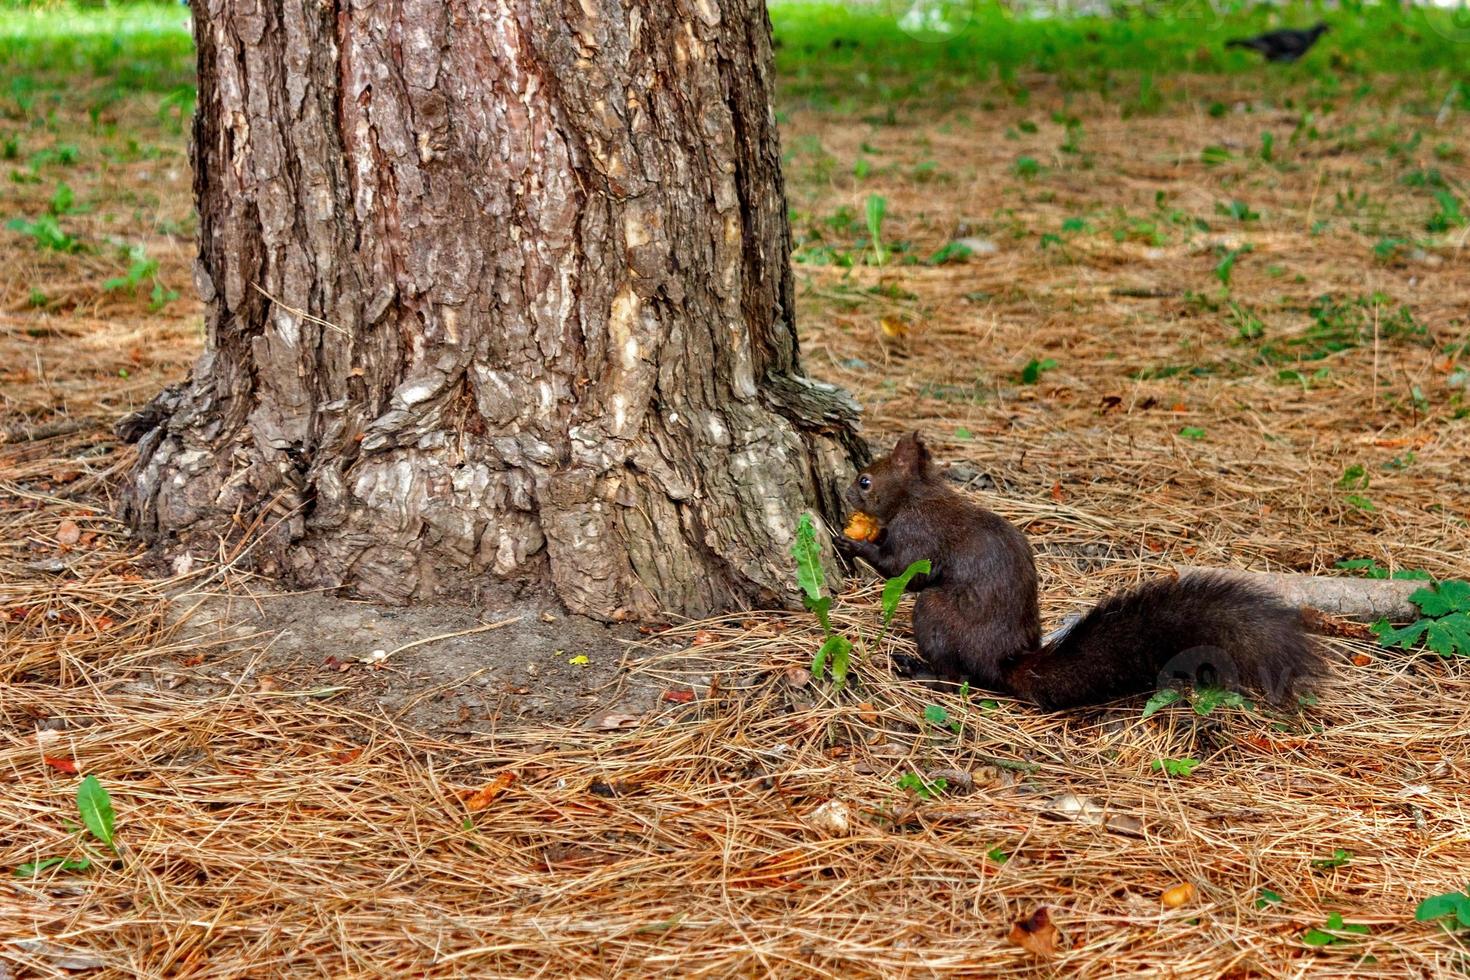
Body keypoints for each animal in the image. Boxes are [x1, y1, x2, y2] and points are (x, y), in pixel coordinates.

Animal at [834, 431, 1328, 708]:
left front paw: (853, 541)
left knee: (958, 675)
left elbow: (903, 571)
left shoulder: (921, 537)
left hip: (937, 616)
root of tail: (1006, 661)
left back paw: (918, 669)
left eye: (865, 480)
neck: (918, 496)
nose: (846, 493)